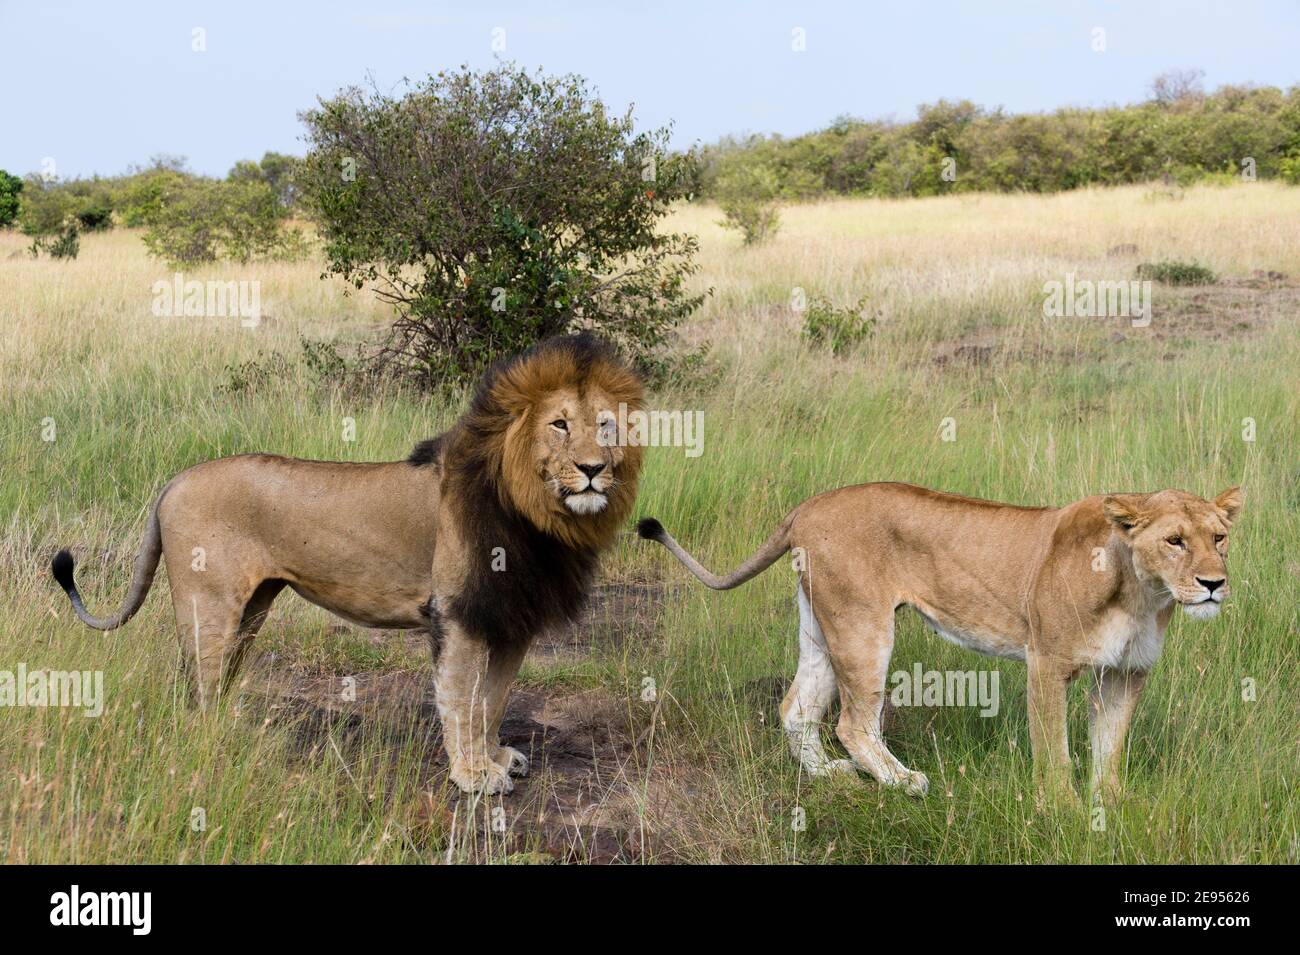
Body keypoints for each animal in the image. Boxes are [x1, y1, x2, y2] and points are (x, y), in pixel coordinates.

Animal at [52, 333, 644, 795]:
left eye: (607, 426)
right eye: (561, 425)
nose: (593, 469)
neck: (539, 516)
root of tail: (173, 481)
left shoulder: (508, 619)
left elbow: (493, 700)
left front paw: (495, 758)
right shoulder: (458, 613)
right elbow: (461, 698)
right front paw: (472, 776)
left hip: (253, 607)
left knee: (213, 678)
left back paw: (231, 727)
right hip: (210, 606)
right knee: (197, 679)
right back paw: (212, 738)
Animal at [639, 483, 1242, 802]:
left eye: (1219, 538)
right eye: (1174, 541)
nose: (1214, 583)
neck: (1142, 593)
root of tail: (808, 505)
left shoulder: (1125, 673)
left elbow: (1109, 745)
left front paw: (1109, 806)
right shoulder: (1047, 663)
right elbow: (1055, 749)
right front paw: (1064, 809)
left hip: (821, 626)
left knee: (796, 707)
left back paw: (829, 775)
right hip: (863, 626)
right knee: (851, 723)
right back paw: (901, 780)